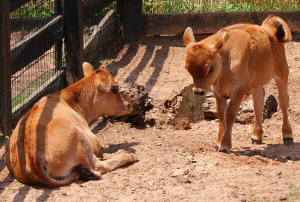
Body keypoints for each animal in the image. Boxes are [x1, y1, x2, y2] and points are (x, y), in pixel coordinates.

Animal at [5, 62, 137, 186]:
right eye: (115, 88)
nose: (128, 105)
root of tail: (33, 158)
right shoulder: (93, 141)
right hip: (79, 139)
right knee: (98, 166)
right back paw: (128, 156)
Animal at [183, 15, 292, 152]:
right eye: (187, 68)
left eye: (210, 68)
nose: (198, 91)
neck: (226, 58)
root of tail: (269, 29)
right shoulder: (218, 91)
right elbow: (221, 114)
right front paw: (218, 142)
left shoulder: (239, 89)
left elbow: (230, 114)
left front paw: (225, 145)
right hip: (257, 83)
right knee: (258, 101)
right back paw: (256, 136)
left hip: (282, 74)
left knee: (283, 101)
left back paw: (287, 135)